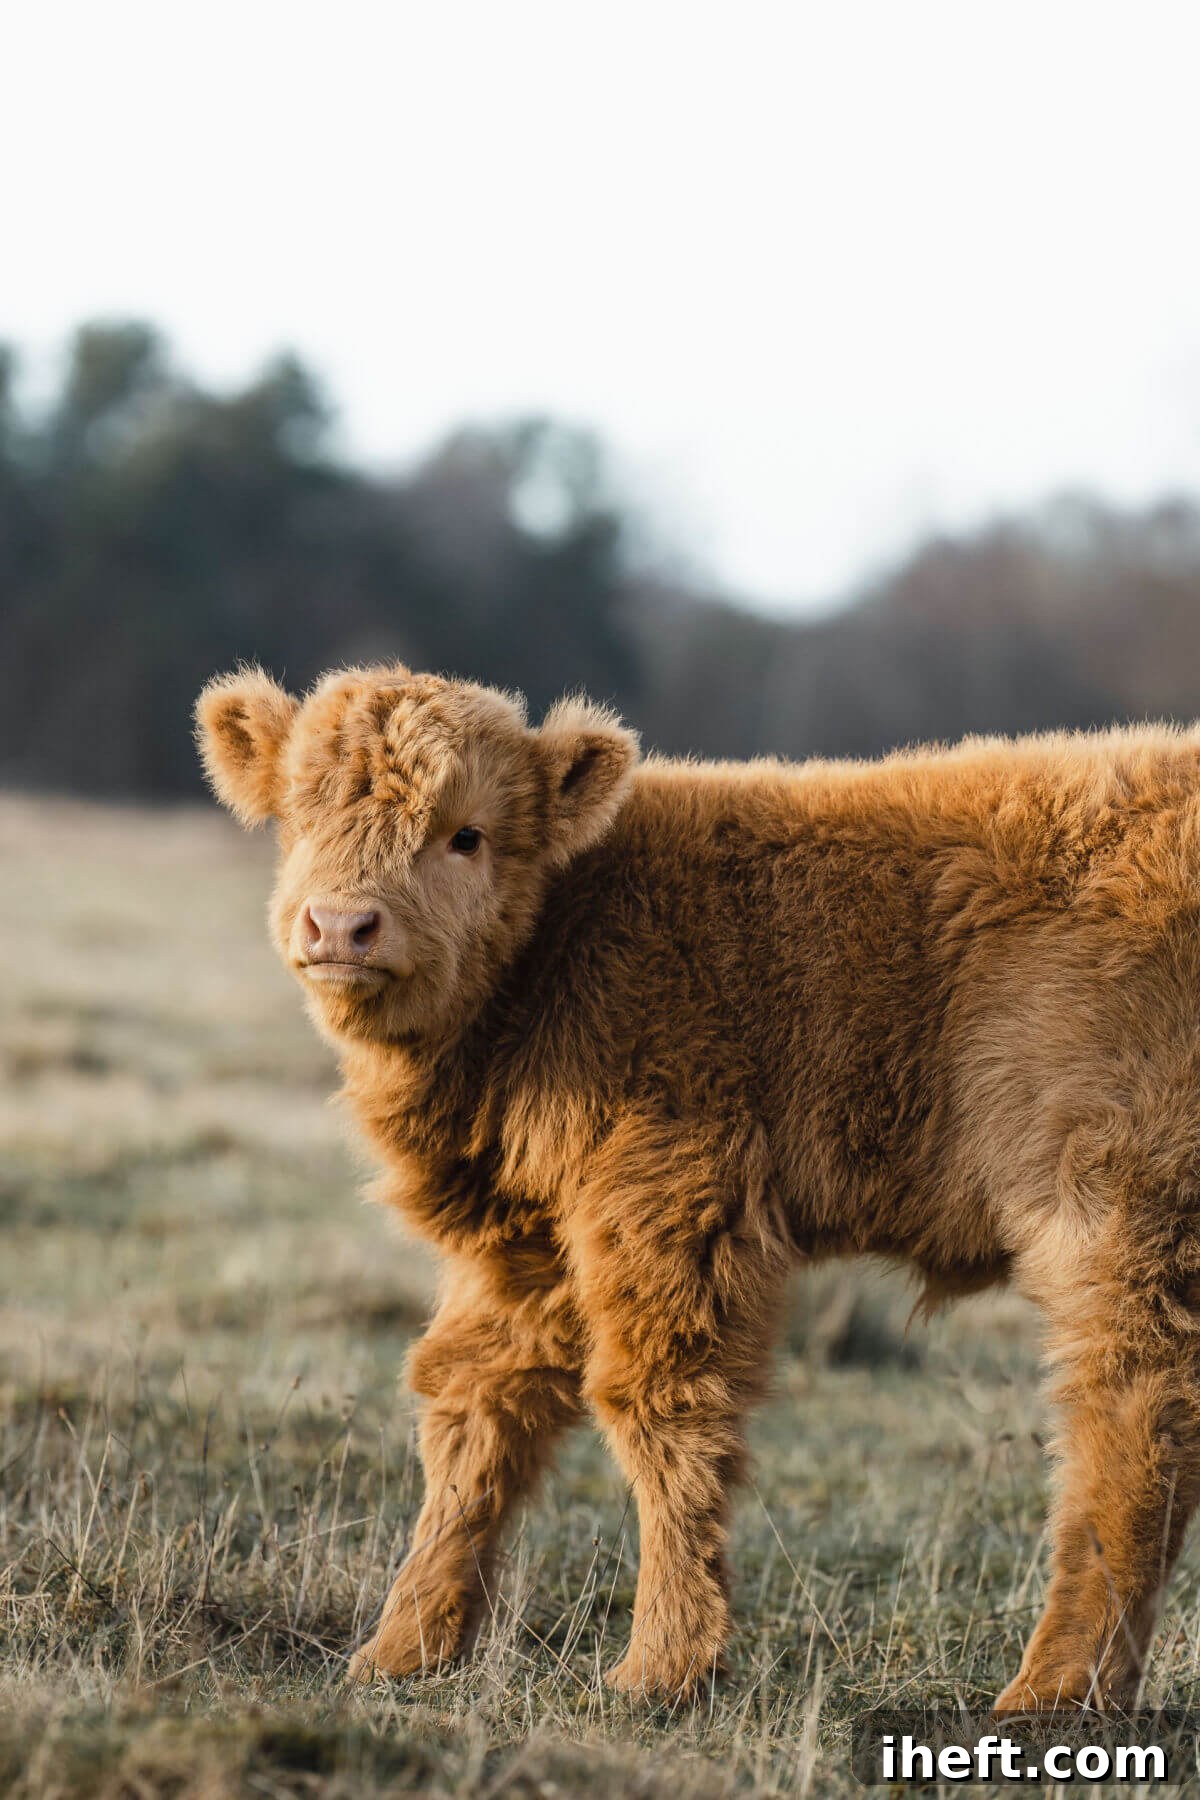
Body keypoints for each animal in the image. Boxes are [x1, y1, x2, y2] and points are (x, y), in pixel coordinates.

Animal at [196, 661, 1200, 1711]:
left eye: (466, 834)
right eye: (299, 819)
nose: (341, 923)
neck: (562, 945)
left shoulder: (668, 1199)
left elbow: (662, 1408)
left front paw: (663, 1665)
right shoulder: (527, 1246)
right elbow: (472, 1410)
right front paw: (404, 1649)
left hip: (1113, 1208)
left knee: (1127, 1420)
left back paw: (1054, 1689)